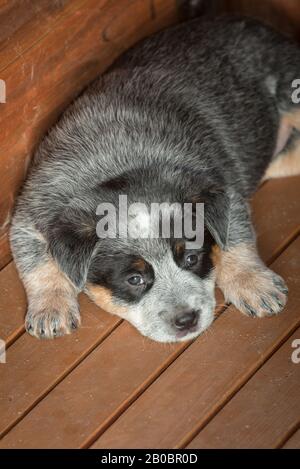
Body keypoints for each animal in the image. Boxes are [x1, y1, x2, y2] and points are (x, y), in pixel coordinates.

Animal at [9, 16, 298, 342]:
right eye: (135, 279)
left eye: (191, 259)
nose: (187, 319)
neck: (116, 166)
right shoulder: (32, 208)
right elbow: (35, 261)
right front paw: (50, 308)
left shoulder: (221, 187)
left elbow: (234, 237)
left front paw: (252, 281)